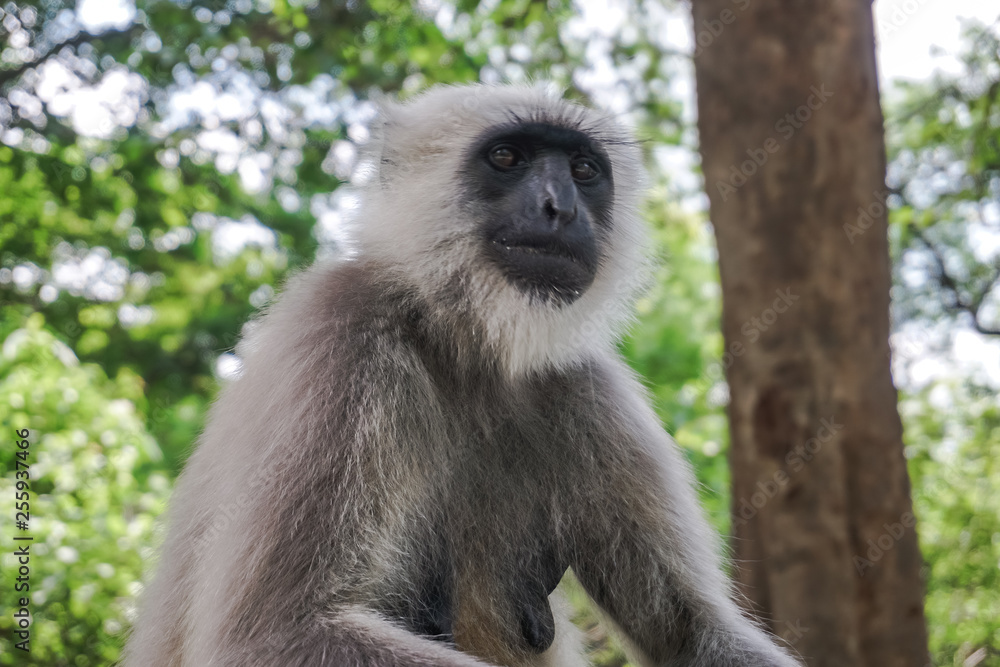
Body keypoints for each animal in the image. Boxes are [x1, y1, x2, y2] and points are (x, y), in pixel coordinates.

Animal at [124, 84, 802, 667]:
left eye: (584, 170)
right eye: (506, 157)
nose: (559, 208)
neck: (468, 350)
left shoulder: (585, 385)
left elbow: (691, 635)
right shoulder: (343, 331)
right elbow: (272, 633)